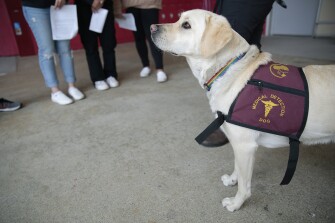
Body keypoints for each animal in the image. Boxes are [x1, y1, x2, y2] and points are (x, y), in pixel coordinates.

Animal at [152, 9, 335, 211]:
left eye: (186, 25)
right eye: (178, 19)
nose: (151, 28)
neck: (229, 70)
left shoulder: (245, 145)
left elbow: (244, 186)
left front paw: (236, 203)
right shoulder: (238, 144)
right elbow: (238, 170)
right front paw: (232, 179)